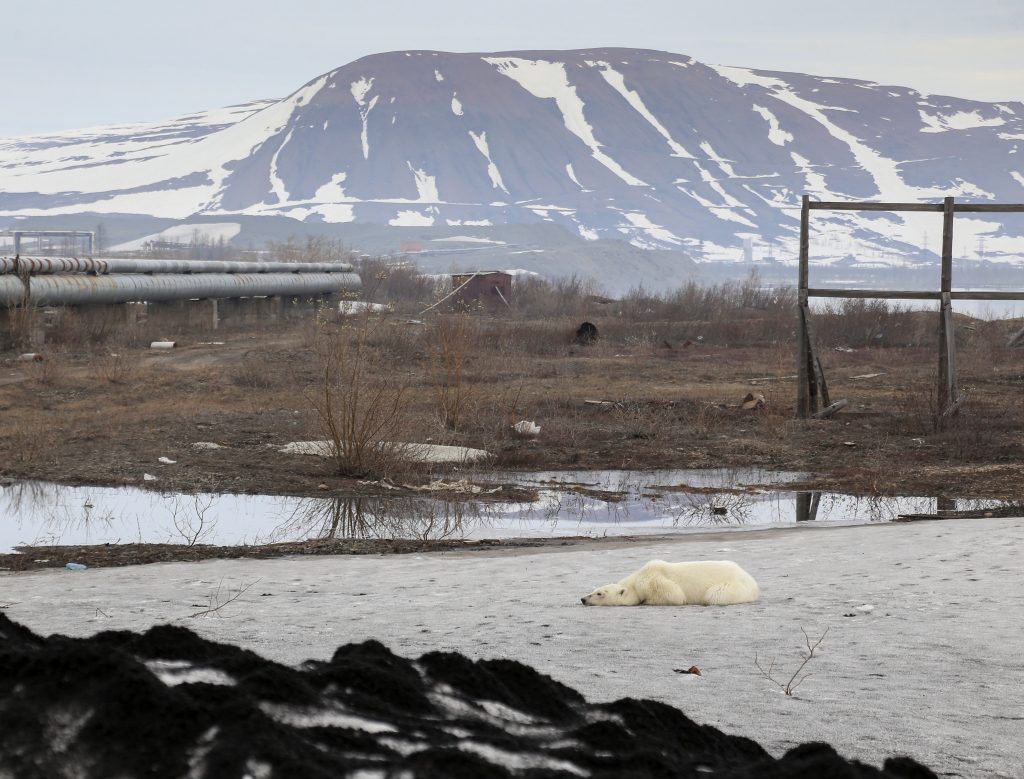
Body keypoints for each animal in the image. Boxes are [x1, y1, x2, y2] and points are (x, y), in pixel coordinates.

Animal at [581, 560, 757, 606]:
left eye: (599, 593)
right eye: (594, 589)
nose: (583, 599)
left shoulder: (653, 580)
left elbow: (675, 595)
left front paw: (648, 601)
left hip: (733, 587)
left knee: (714, 595)